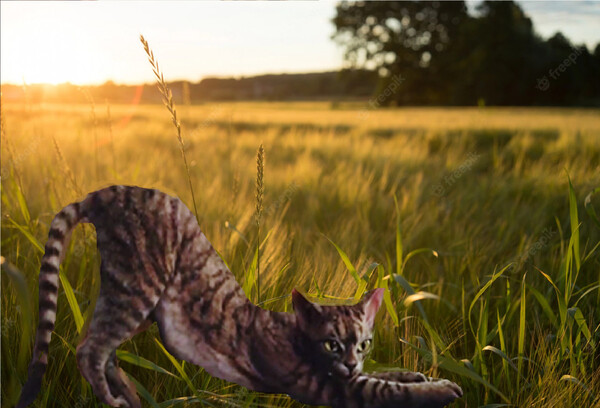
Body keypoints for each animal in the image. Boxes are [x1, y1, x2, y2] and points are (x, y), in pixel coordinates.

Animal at [15, 185, 464, 408]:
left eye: (365, 343)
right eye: (332, 343)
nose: (352, 362)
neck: (295, 332)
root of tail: (103, 193)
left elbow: (387, 375)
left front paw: (418, 374)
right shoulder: (324, 387)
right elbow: (386, 390)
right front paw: (439, 390)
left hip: (136, 299)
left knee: (101, 345)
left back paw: (128, 392)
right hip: (139, 283)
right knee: (88, 348)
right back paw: (114, 398)